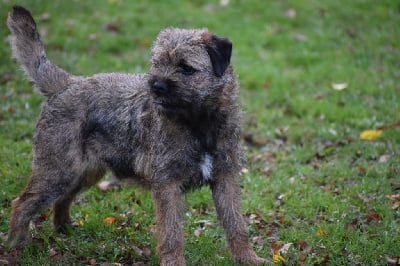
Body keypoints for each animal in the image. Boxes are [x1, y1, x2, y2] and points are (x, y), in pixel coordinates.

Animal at [7, 6, 266, 266]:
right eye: (158, 63)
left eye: (186, 67)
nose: (157, 86)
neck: (199, 125)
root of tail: (67, 84)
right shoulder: (167, 184)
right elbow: (171, 233)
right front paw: (174, 261)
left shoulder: (225, 177)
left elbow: (236, 225)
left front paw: (248, 258)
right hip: (57, 170)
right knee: (21, 203)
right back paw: (16, 248)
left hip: (82, 171)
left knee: (62, 198)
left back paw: (64, 230)